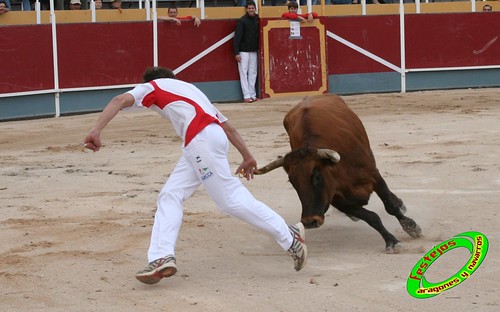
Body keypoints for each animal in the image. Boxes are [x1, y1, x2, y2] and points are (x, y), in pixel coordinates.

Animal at [258, 94, 422, 252]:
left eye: (317, 176)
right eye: (292, 182)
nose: (310, 221)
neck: (340, 172)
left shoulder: (374, 177)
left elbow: (390, 206)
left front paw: (411, 226)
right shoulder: (337, 200)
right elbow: (371, 217)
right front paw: (391, 240)